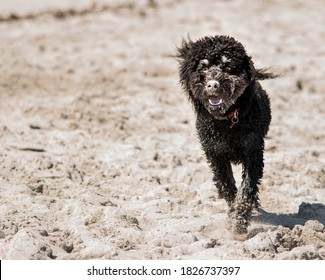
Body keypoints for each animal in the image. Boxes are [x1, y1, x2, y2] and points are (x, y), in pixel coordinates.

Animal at [176, 36, 274, 235]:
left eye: (228, 68)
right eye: (203, 68)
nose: (213, 84)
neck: (226, 121)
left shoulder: (253, 153)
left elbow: (246, 189)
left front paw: (239, 223)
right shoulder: (215, 155)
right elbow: (227, 186)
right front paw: (233, 214)